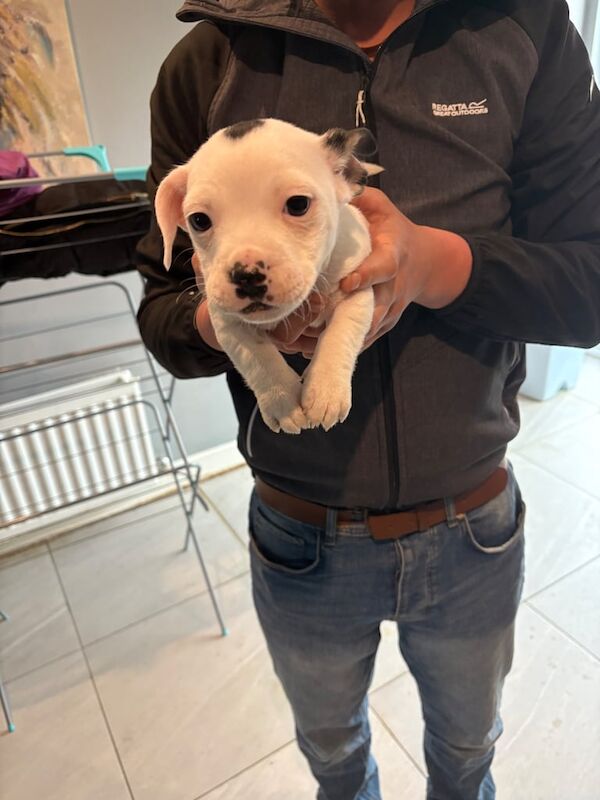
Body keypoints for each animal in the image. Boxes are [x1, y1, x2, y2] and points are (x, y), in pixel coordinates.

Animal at [155, 118, 380, 432]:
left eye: (298, 204)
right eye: (199, 221)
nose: (247, 275)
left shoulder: (358, 287)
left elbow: (341, 332)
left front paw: (325, 391)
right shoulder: (225, 320)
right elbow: (256, 357)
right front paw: (282, 401)